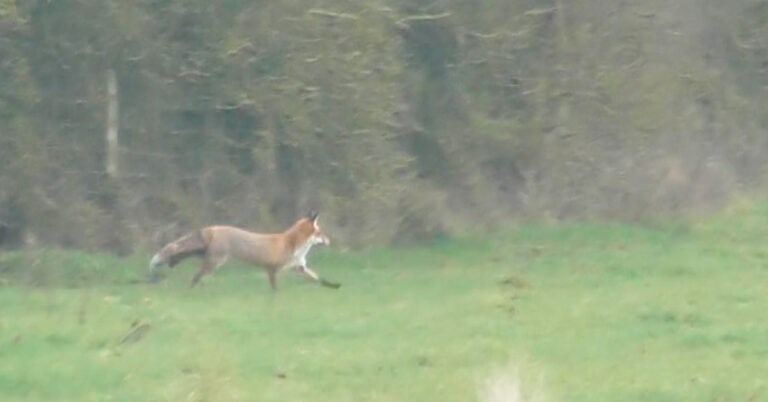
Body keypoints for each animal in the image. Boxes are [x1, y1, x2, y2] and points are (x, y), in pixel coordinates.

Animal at [148, 211, 340, 290]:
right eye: (320, 233)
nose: (329, 241)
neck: (292, 245)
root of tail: (213, 228)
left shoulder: (300, 267)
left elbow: (319, 279)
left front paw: (334, 286)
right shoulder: (272, 269)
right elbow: (275, 289)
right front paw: (275, 300)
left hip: (206, 256)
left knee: (184, 259)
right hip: (214, 262)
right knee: (195, 275)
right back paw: (191, 290)